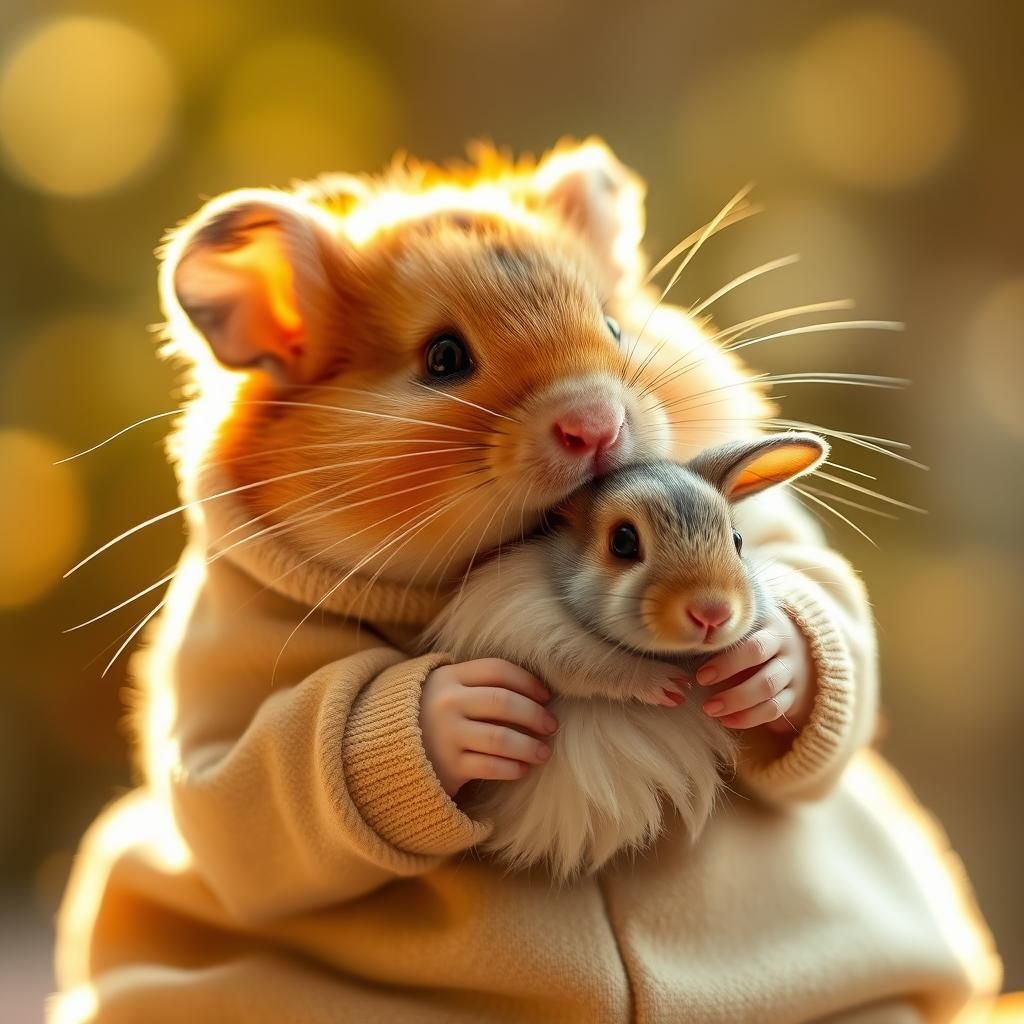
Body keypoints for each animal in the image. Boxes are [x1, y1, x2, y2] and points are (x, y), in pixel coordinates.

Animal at [427, 431, 828, 881]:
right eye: (622, 542)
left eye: (738, 541)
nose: (713, 613)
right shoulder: (544, 641)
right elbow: (598, 671)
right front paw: (664, 686)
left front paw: (764, 669)